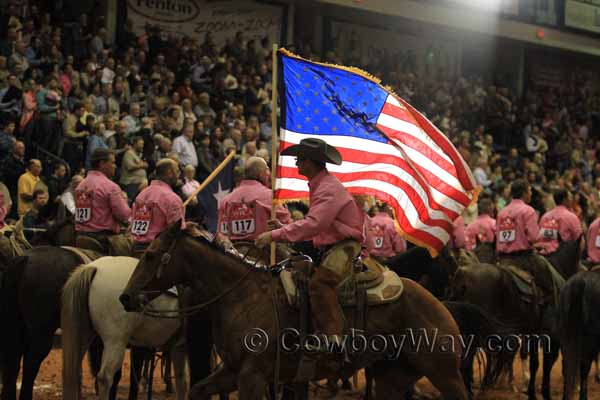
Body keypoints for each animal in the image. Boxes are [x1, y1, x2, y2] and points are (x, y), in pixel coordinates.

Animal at [120, 222, 468, 400]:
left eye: (151, 255)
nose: (125, 298)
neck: (242, 295)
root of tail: (438, 304)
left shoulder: (252, 376)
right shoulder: (232, 371)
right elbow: (197, 390)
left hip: (445, 372)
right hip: (391, 377)